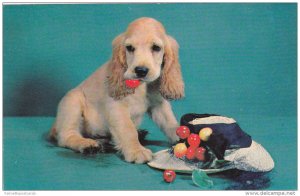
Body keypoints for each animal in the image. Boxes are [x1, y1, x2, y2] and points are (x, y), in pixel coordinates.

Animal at [49, 17, 184, 164]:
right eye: (129, 48)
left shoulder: (158, 104)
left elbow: (170, 122)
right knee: (66, 136)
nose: (140, 71)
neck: (142, 86)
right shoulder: (117, 107)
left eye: (156, 48)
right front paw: (136, 151)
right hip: (73, 101)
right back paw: (87, 144)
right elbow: (128, 129)